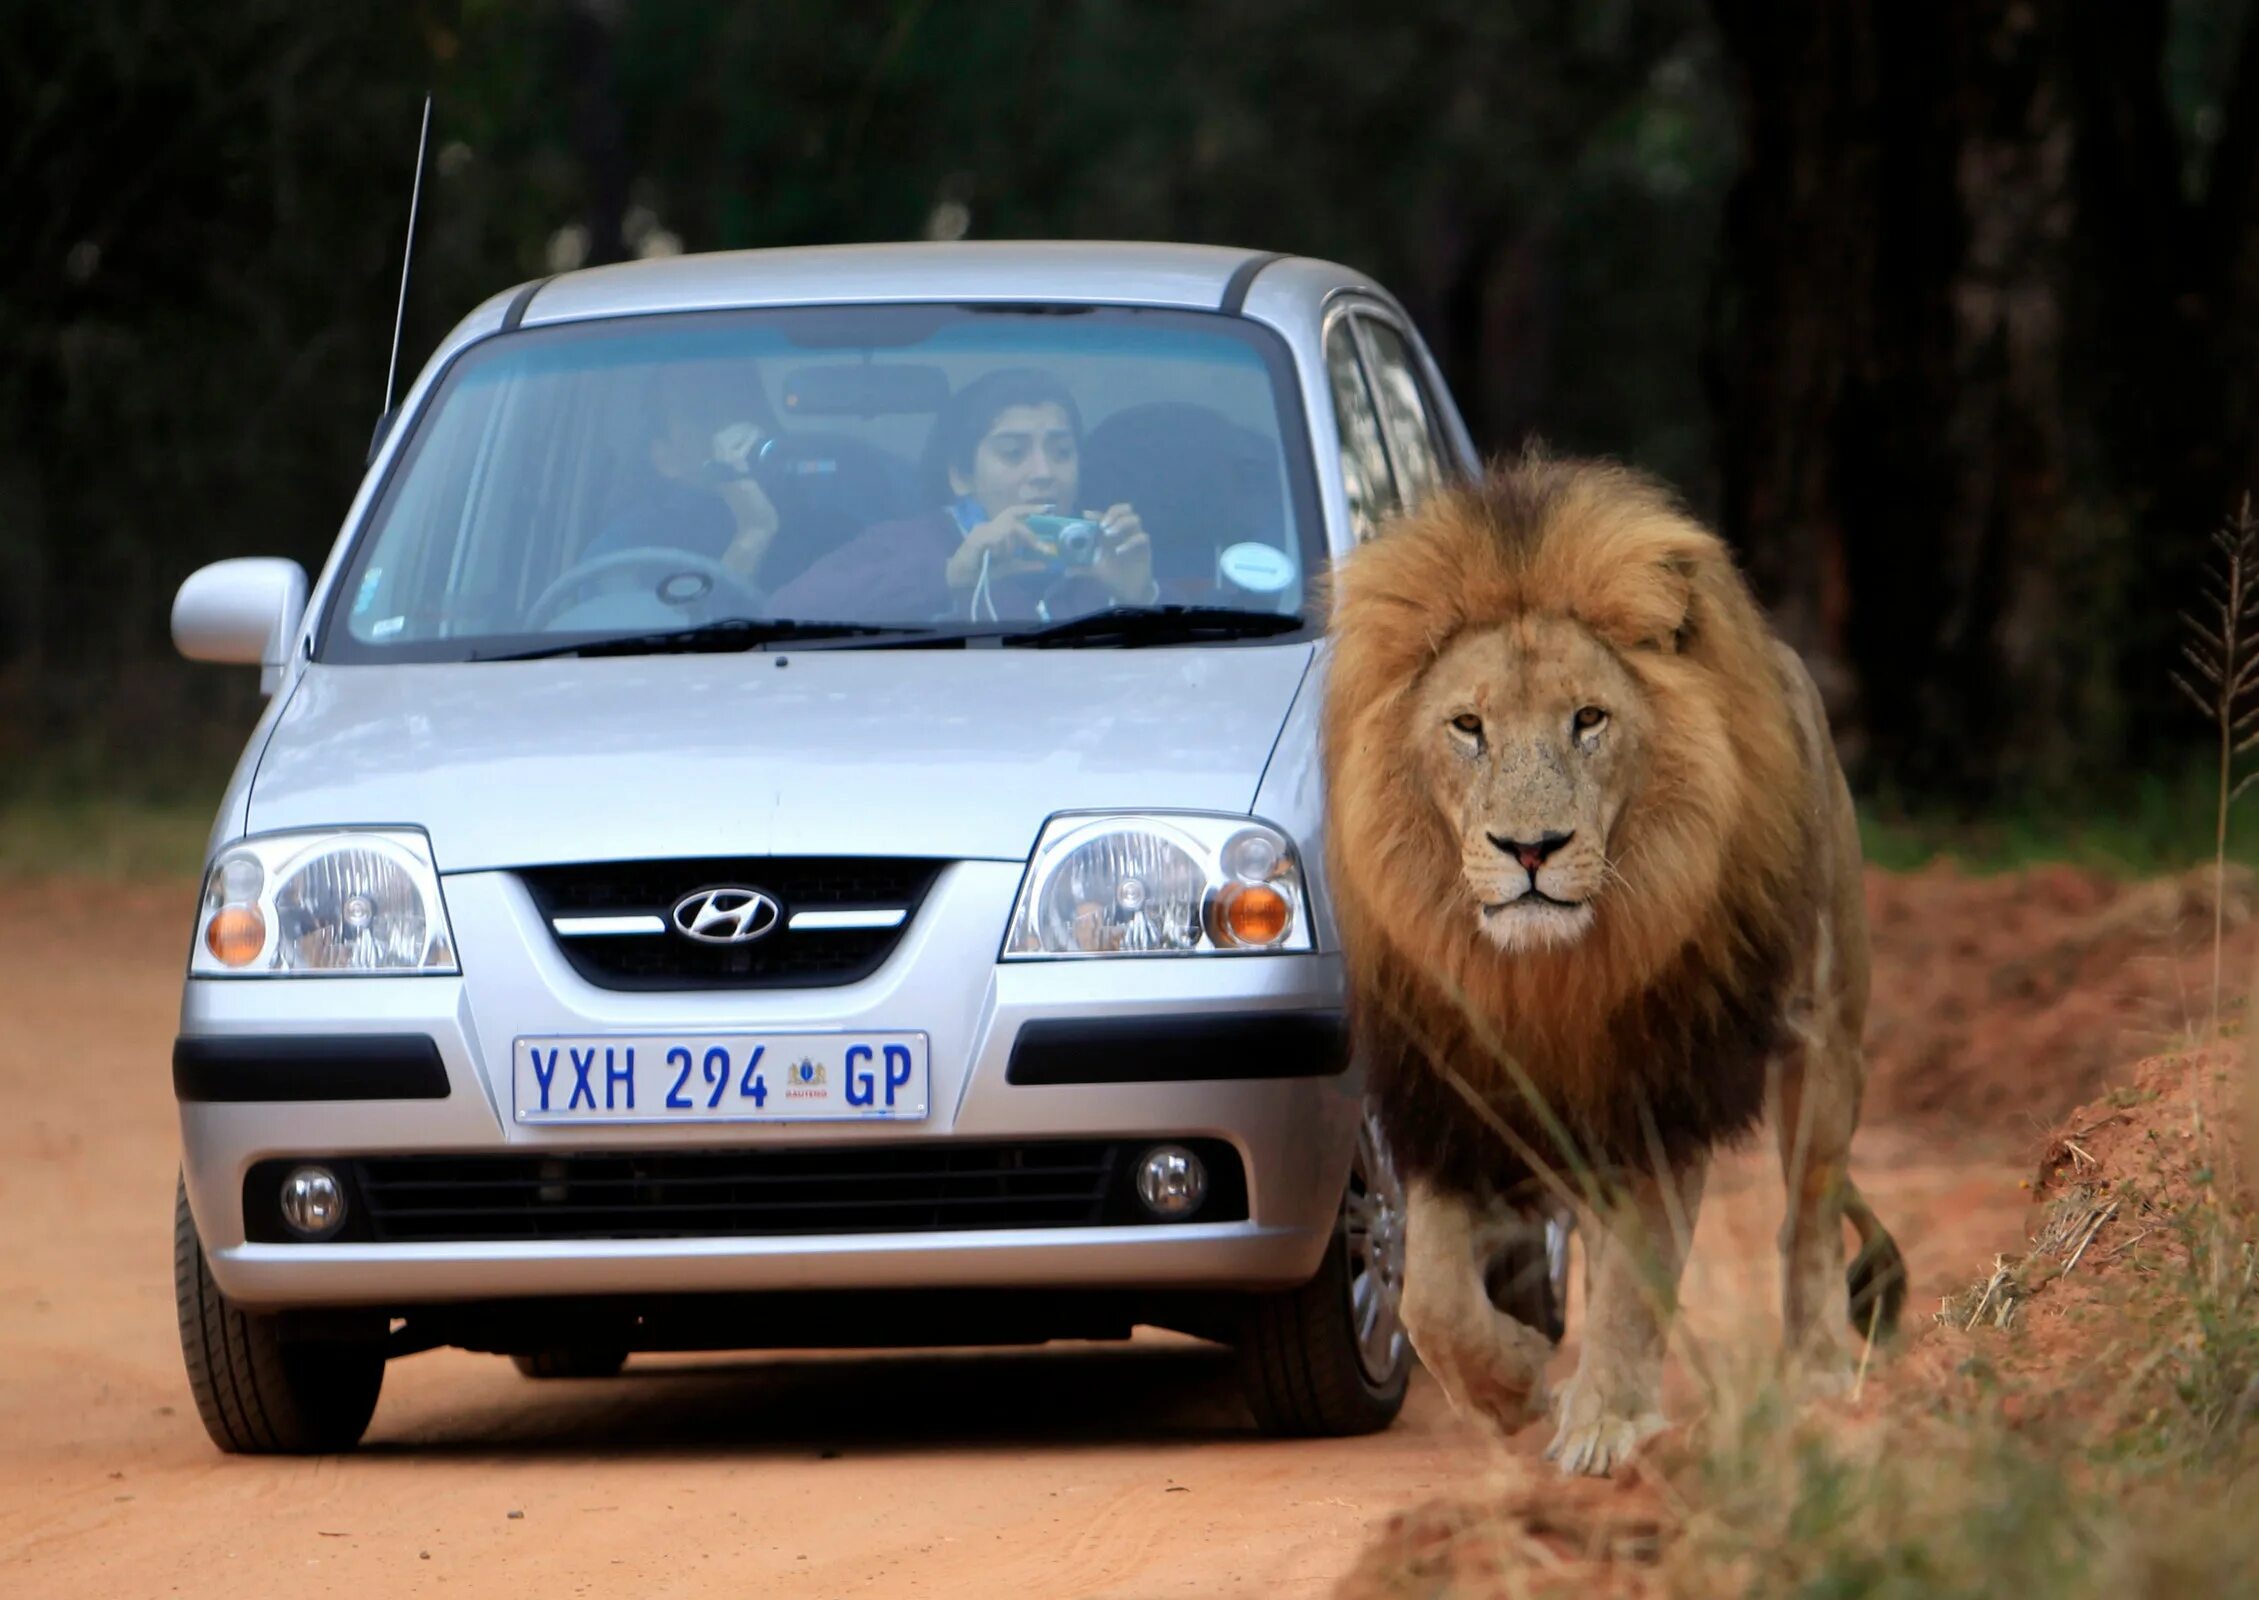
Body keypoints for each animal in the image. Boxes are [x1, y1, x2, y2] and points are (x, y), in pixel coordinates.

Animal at [1319, 449, 1906, 1473]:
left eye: (1588, 719)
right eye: (1466, 726)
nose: (1529, 849)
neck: (1541, 978)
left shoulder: (1656, 1089)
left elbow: (1636, 1276)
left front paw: (1602, 1425)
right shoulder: (1452, 1090)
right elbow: (1430, 1295)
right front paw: (1514, 1385)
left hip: (1826, 1034)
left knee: (1806, 1216)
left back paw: (1824, 1375)